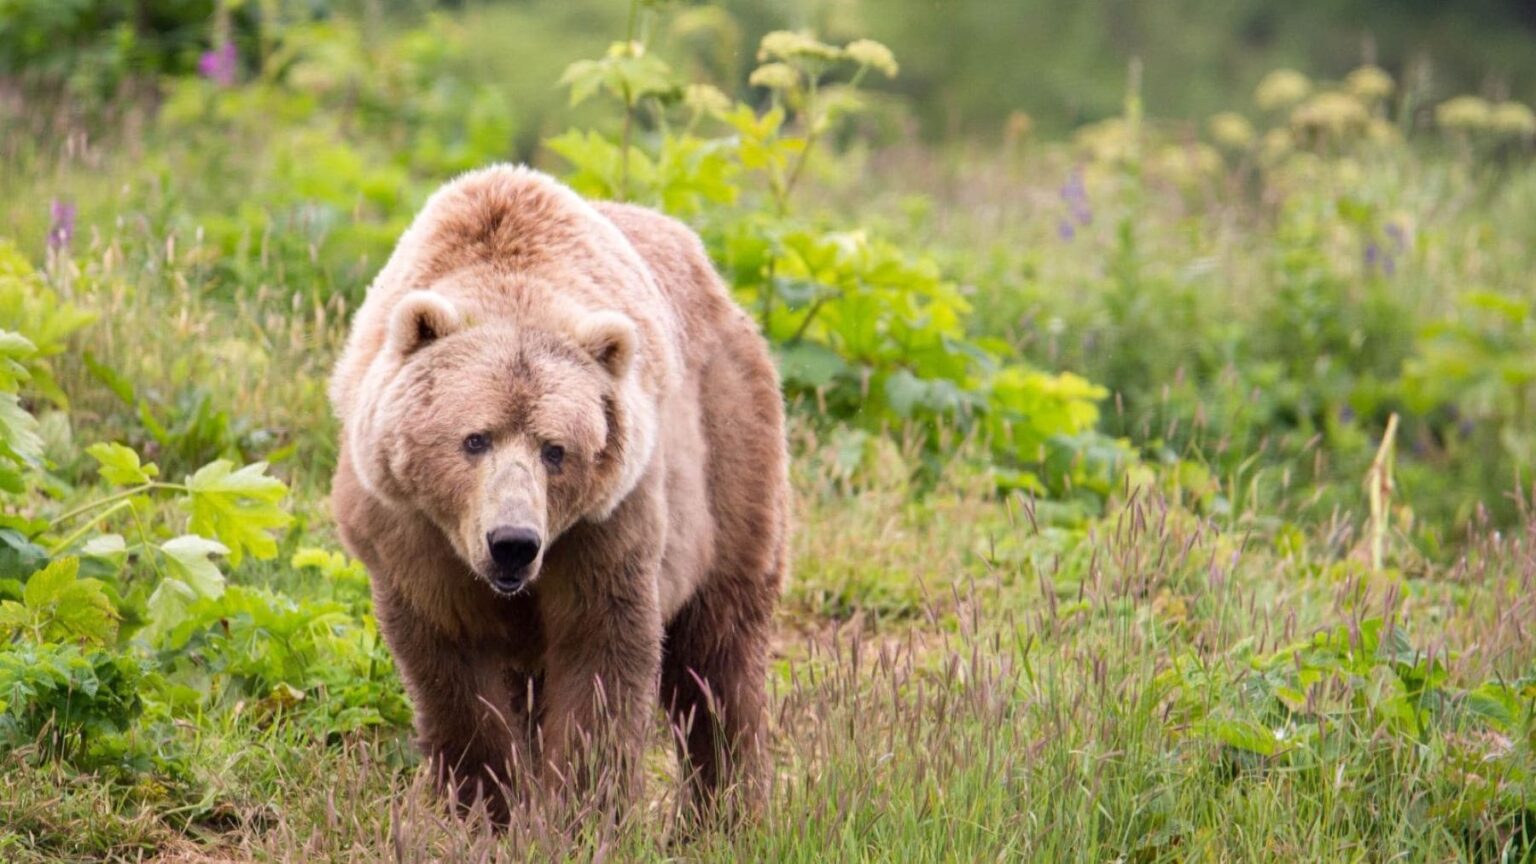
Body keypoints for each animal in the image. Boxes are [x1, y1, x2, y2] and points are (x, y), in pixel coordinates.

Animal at [327, 165, 789, 821]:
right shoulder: (408, 532)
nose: (513, 542)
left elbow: (601, 660)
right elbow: (449, 665)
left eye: (555, 449)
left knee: (719, 651)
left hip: (728, 448)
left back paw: (723, 811)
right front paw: (489, 803)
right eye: (474, 439)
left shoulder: (607, 528)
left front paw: (580, 809)